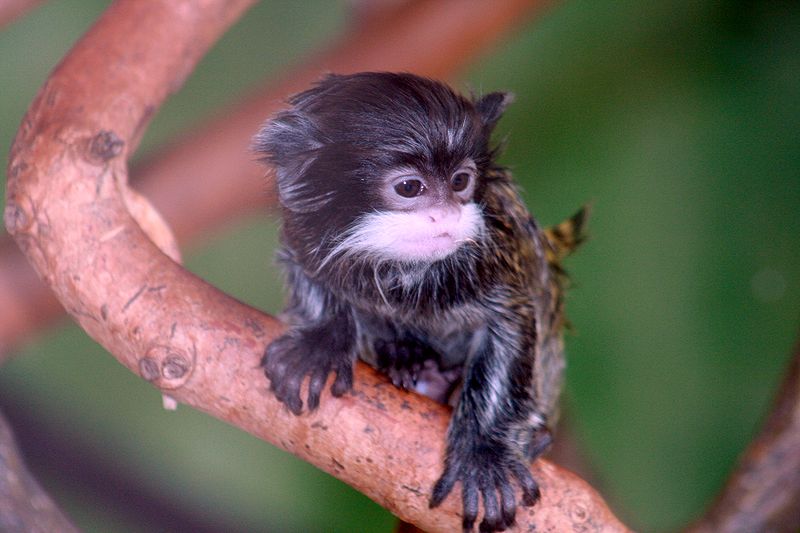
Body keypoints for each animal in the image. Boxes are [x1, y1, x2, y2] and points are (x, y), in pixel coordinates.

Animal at [256, 71, 588, 532]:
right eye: (410, 187)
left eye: (461, 181)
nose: (447, 216)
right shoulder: (303, 230)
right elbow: (307, 272)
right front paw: (320, 341)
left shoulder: (494, 252)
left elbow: (512, 319)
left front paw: (484, 451)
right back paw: (410, 362)